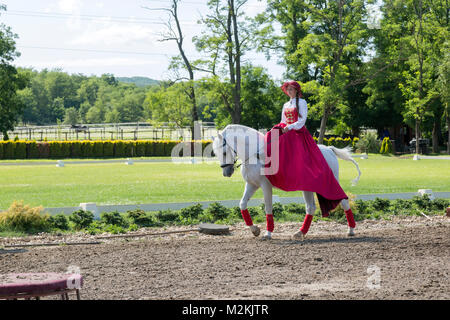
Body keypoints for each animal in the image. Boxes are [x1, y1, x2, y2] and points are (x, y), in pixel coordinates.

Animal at [212, 124, 362, 240]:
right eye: (216, 153)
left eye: (224, 152)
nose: (226, 173)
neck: (256, 155)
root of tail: (329, 149)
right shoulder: (252, 185)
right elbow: (242, 204)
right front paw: (255, 230)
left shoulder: (266, 186)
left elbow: (268, 207)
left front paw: (268, 233)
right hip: (309, 188)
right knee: (311, 207)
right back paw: (300, 233)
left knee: (343, 201)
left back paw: (351, 230)